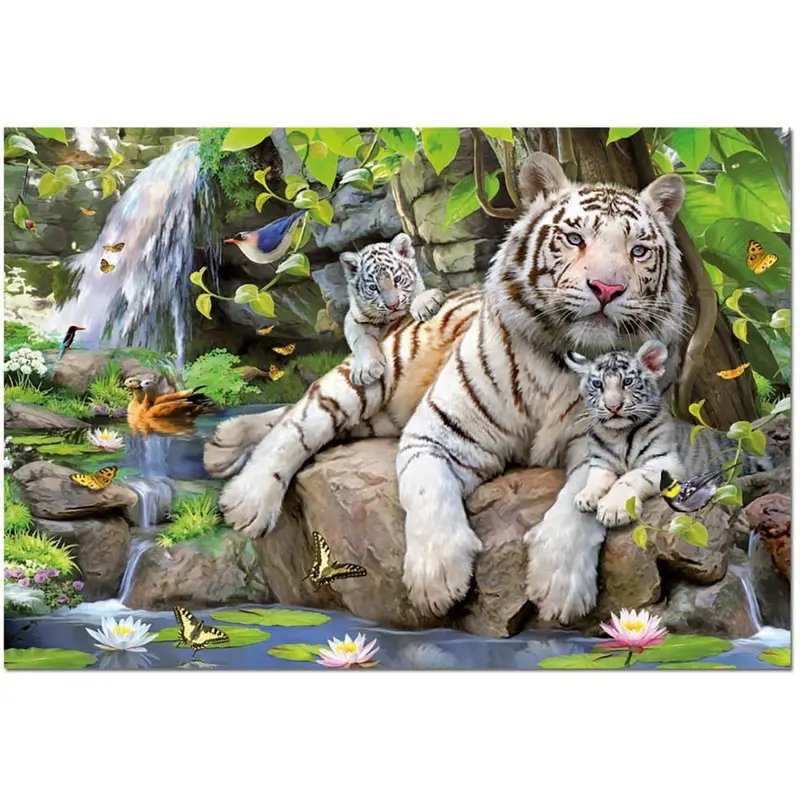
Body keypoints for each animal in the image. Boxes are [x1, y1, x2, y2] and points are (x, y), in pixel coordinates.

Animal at [340, 232, 446, 385]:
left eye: (397, 279)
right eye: (373, 287)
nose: (393, 305)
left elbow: (418, 294)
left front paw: (425, 304)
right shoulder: (354, 318)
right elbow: (361, 340)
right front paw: (366, 370)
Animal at [565, 339, 771, 527]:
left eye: (627, 382)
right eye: (597, 384)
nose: (613, 407)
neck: (618, 434)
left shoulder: (664, 462)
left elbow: (629, 478)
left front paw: (613, 509)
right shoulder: (601, 462)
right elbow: (596, 477)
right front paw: (585, 496)